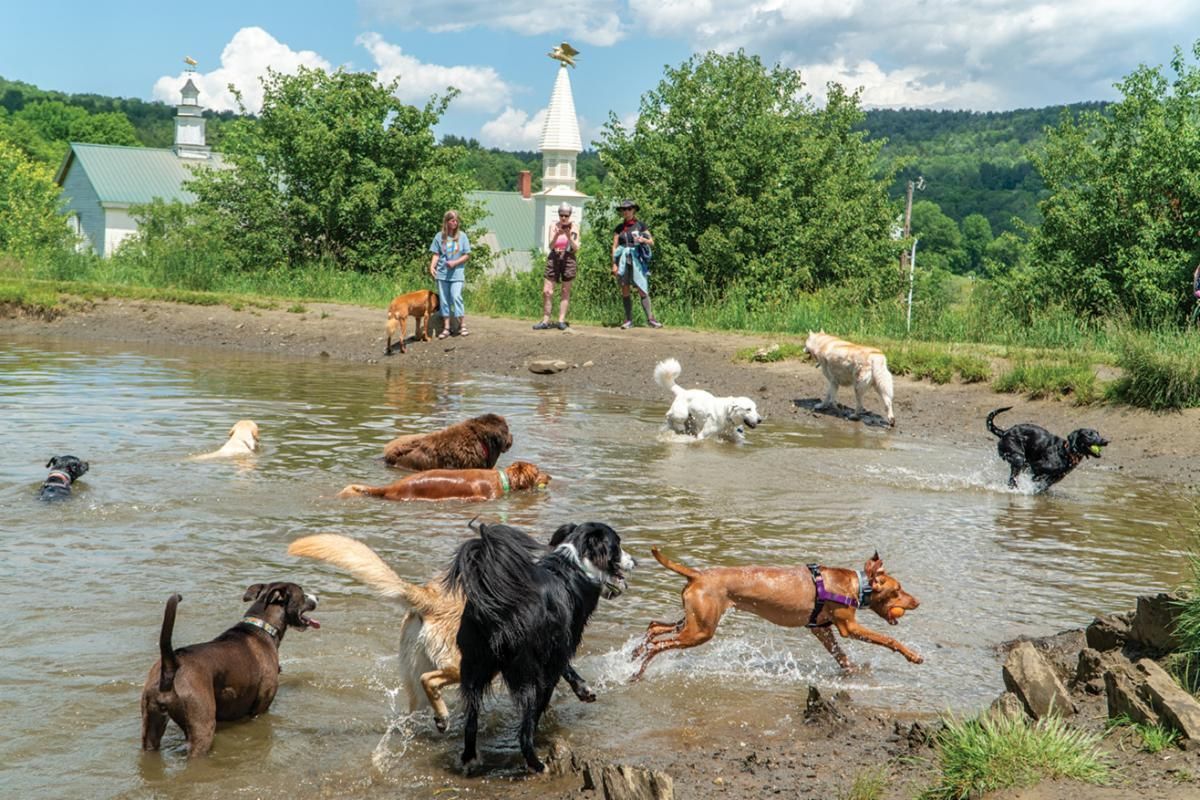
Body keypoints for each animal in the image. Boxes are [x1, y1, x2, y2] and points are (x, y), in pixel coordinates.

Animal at [138, 582, 319, 758]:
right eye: (302, 593)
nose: (317, 597)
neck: (263, 626)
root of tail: (171, 665)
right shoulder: (261, 708)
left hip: (151, 725)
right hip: (202, 727)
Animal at [633, 551, 921, 681]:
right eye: (898, 590)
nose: (918, 601)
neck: (856, 585)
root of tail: (697, 574)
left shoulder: (820, 628)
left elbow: (840, 655)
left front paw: (852, 671)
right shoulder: (849, 626)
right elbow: (888, 639)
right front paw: (913, 655)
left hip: (695, 620)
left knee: (654, 627)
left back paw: (636, 651)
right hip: (701, 631)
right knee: (659, 644)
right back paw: (639, 668)